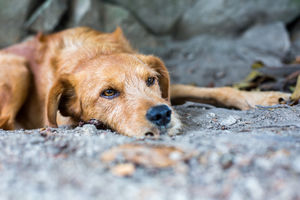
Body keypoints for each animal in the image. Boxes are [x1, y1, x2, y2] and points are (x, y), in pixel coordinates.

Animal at [0, 27, 290, 138]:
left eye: (150, 80)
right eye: (108, 92)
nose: (161, 114)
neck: (94, 52)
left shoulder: (166, 90)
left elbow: (217, 90)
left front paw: (263, 97)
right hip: (18, 69)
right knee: (6, 122)